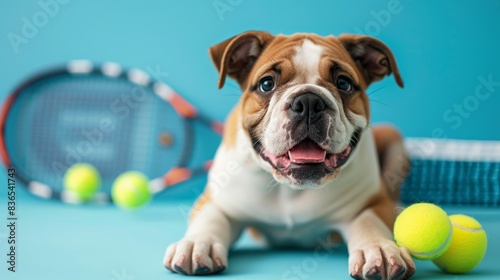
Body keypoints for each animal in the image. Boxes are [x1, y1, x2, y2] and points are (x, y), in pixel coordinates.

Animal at [164, 31, 414, 280]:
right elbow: (210, 219)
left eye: (344, 83)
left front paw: (379, 248)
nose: (309, 101)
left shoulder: (373, 202)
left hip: (392, 137)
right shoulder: (217, 201)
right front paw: (196, 244)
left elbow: (369, 221)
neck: (289, 189)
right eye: (266, 84)